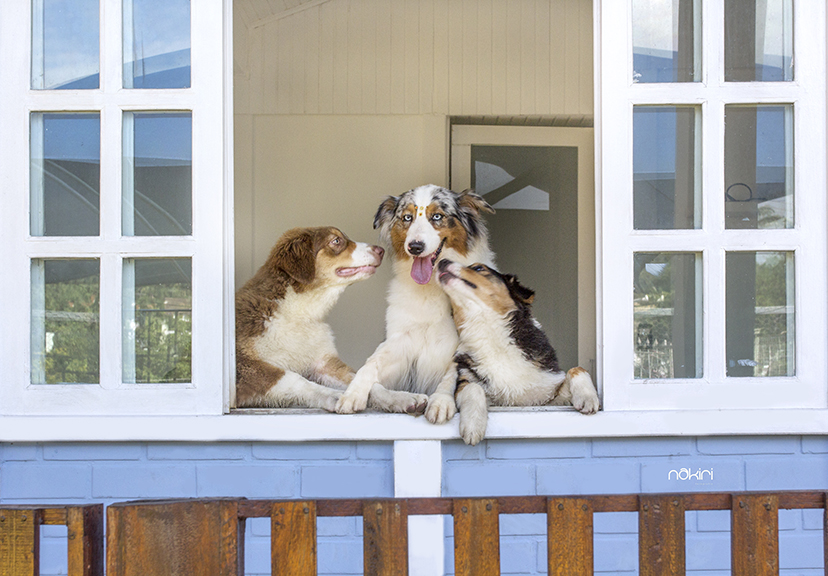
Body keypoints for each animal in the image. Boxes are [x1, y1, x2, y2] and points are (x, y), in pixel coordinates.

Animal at [334, 186, 494, 424]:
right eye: (407, 218)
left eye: (437, 216)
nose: (415, 247)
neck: (429, 287)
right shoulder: (399, 341)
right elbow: (370, 364)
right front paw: (353, 393)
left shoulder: (460, 346)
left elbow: (450, 376)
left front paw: (441, 401)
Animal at [436, 260, 600, 446]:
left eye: (478, 268)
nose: (442, 261)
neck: (488, 331)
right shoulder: (466, 383)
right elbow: (473, 387)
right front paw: (473, 424)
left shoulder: (548, 398)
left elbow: (577, 369)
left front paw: (588, 397)